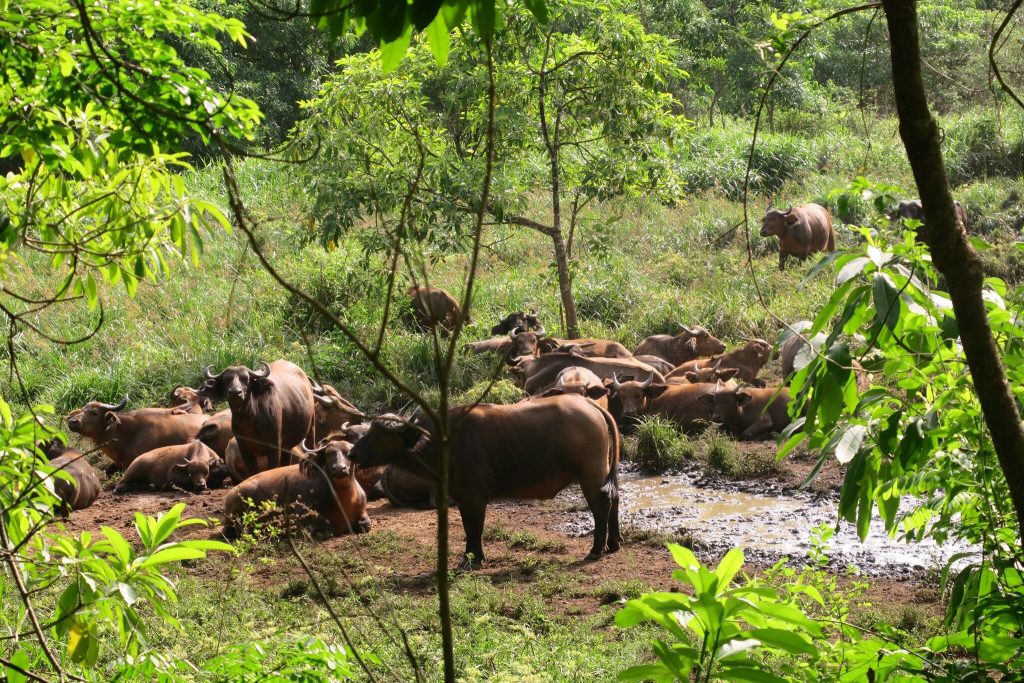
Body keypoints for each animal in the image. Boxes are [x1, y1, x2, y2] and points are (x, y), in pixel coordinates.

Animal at [350, 393, 622, 569]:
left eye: (377, 435)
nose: (353, 453)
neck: (444, 441)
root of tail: (590, 404)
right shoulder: (461, 497)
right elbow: (469, 527)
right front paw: (471, 557)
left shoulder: (475, 497)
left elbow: (475, 527)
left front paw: (473, 559)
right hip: (604, 469)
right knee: (615, 498)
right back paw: (614, 543)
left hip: (590, 473)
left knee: (601, 506)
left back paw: (595, 550)